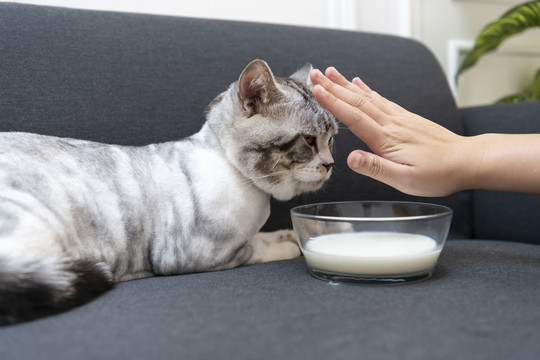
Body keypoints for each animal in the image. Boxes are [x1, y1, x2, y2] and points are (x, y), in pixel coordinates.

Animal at [0, 58, 338, 324]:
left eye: (332, 139)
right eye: (309, 140)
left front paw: (286, 235)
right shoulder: (194, 252)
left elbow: (267, 235)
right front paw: (288, 246)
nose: (330, 164)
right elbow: (257, 248)